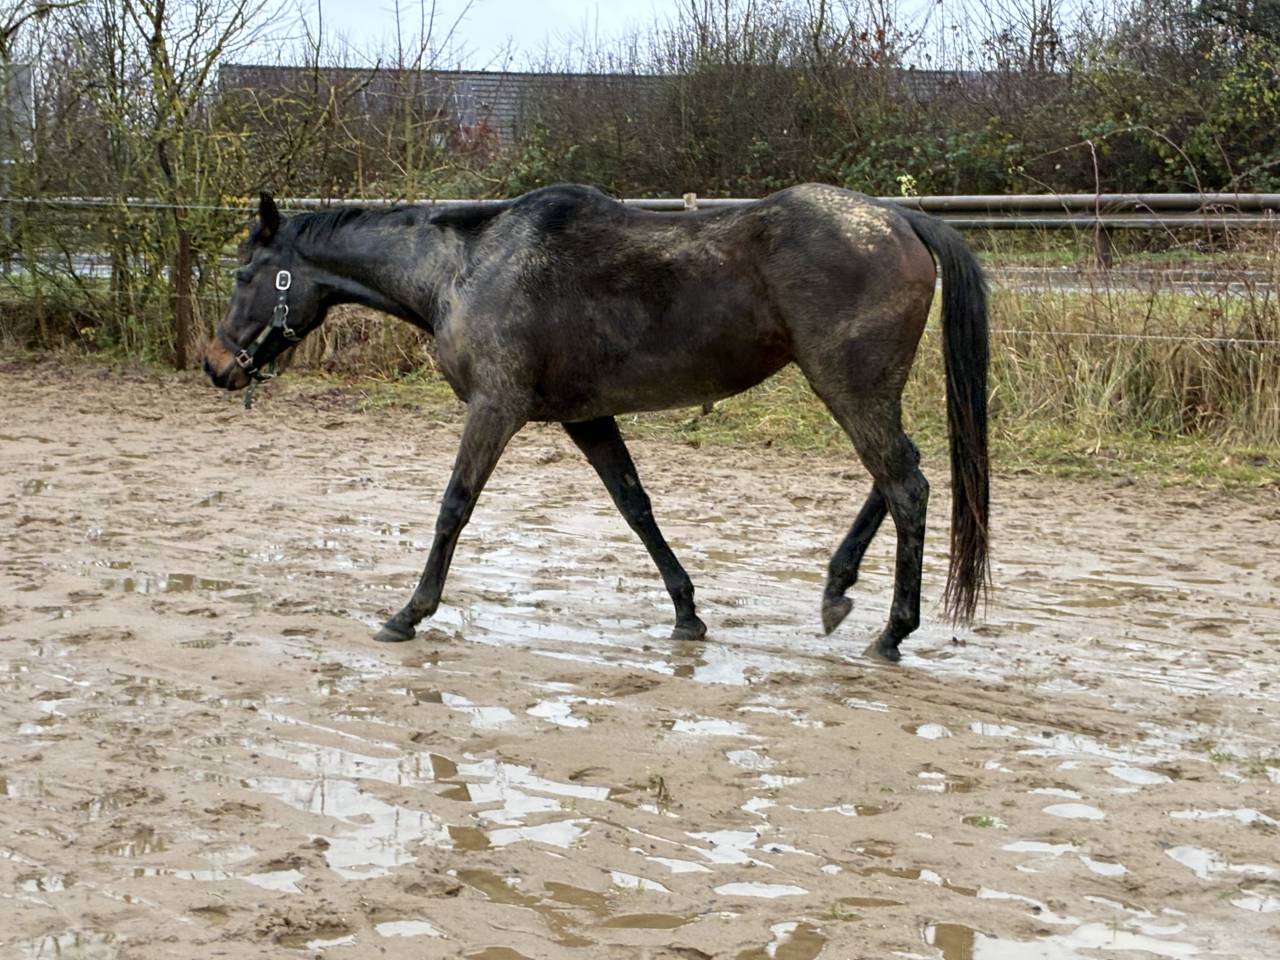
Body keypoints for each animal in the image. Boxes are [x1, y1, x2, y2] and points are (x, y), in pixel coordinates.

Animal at [203, 184, 989, 662]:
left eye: (244, 275)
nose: (216, 365)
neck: (467, 266)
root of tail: (898, 218)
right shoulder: (588, 418)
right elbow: (636, 507)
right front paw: (686, 613)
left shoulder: (496, 409)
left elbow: (454, 506)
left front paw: (409, 613)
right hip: (859, 390)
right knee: (898, 475)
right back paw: (837, 589)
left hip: (848, 386)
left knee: (907, 484)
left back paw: (892, 632)